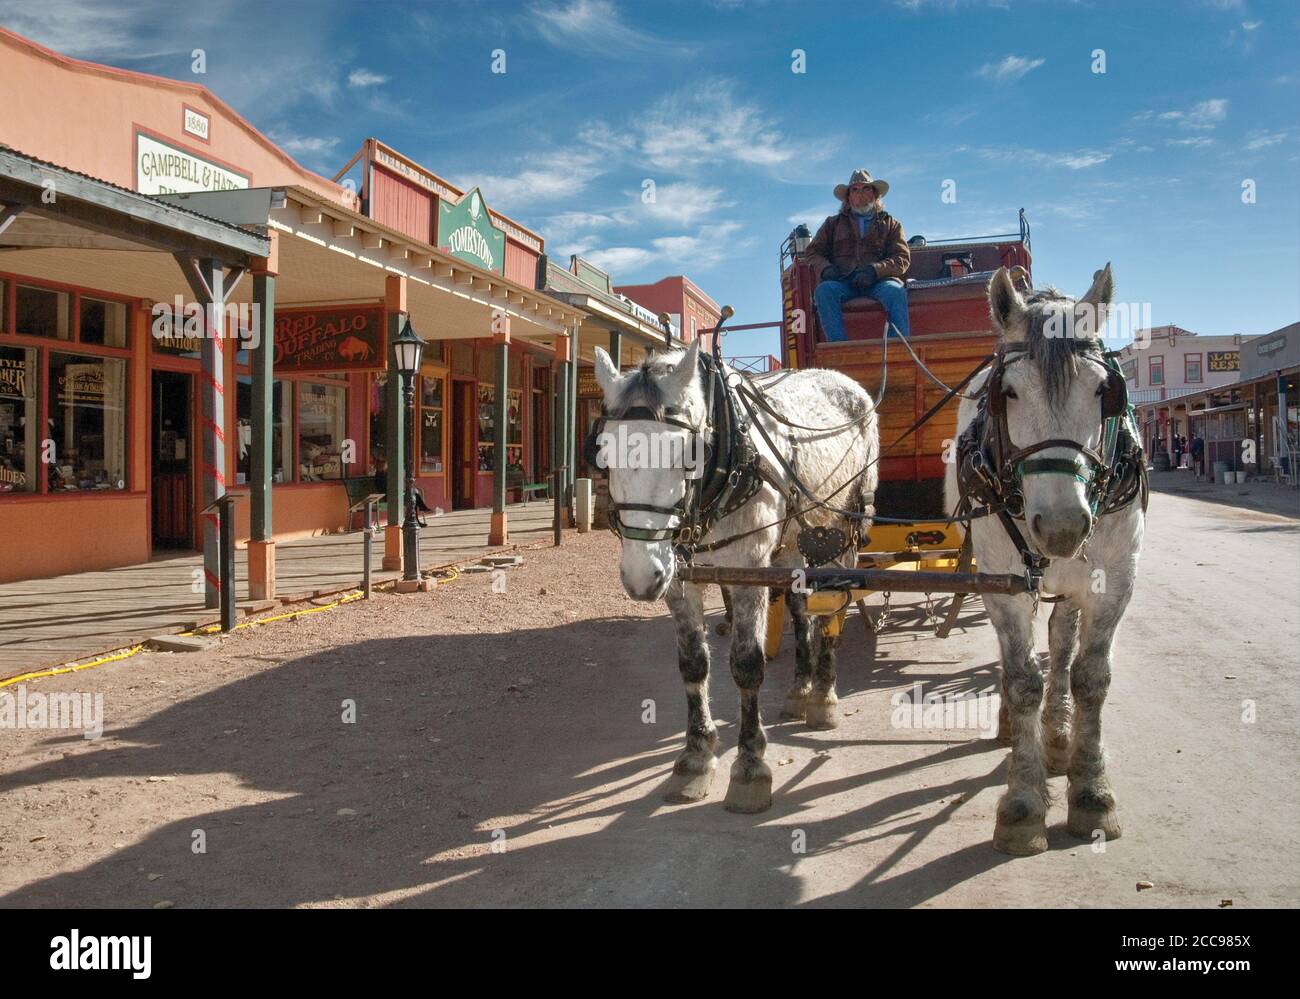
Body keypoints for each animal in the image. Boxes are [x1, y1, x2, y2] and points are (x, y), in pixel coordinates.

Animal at [595, 340, 878, 811]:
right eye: (603, 452)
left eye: (686, 453)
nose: (640, 576)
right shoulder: (678, 577)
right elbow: (693, 664)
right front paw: (695, 758)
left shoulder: (747, 570)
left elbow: (747, 665)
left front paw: (749, 765)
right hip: (792, 543)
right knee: (801, 611)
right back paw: (800, 690)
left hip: (843, 530)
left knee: (831, 612)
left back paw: (824, 694)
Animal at [946, 267, 1149, 858]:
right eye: (1008, 392)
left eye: (1104, 391)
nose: (1061, 528)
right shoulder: (1004, 581)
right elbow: (1021, 680)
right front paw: (1022, 804)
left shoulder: (1114, 582)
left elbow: (1090, 678)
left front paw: (1091, 792)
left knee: (1061, 645)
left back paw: (1058, 738)